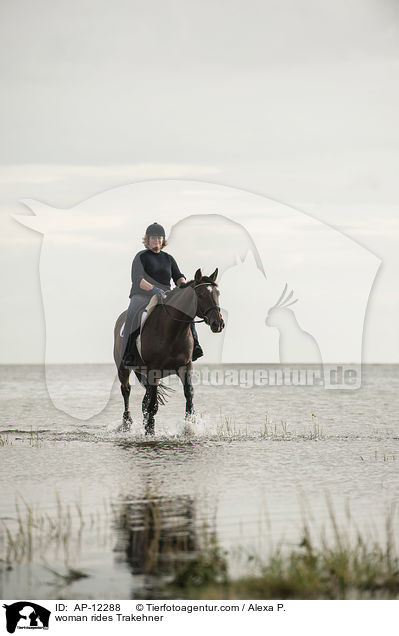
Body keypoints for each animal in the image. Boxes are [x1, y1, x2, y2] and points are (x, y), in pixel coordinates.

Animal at [114, 266, 225, 434]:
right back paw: (127, 423)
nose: (218, 323)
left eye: (217, 293)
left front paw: (189, 426)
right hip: (123, 368)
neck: (173, 330)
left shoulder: (185, 366)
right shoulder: (154, 370)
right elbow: (152, 404)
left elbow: (189, 395)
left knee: (144, 399)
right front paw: (150, 431)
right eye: (200, 294)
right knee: (126, 390)